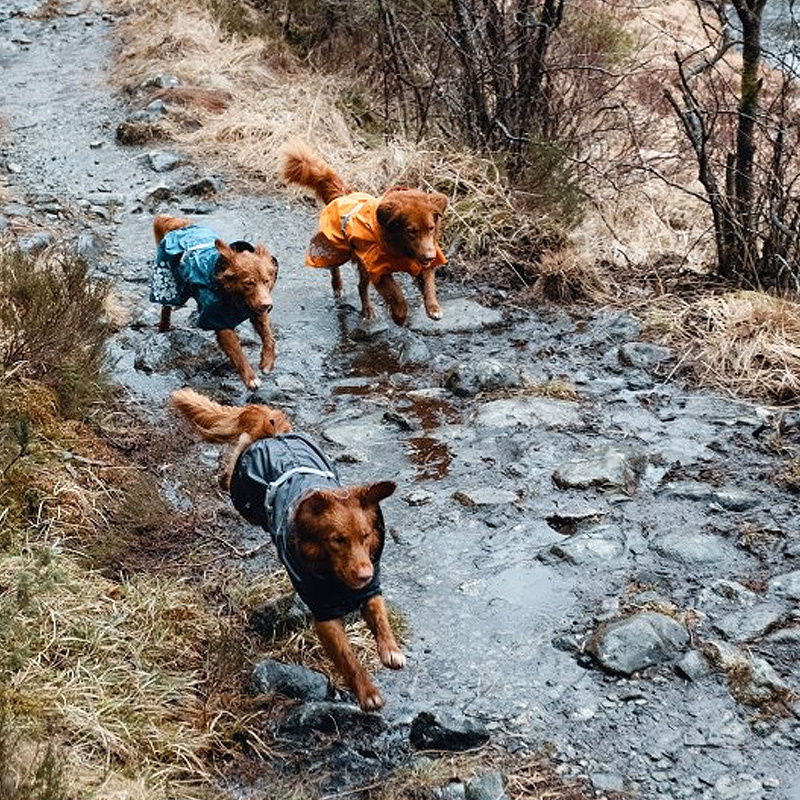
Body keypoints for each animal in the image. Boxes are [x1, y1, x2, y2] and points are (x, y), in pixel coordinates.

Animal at [152, 216, 280, 390]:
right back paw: (164, 327)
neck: (236, 298)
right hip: (170, 284)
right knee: (166, 306)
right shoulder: (217, 320)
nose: (268, 305)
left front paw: (267, 362)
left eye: (266, 281)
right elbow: (237, 351)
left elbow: (268, 337)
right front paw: (251, 378)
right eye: (248, 283)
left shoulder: (257, 309)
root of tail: (181, 226)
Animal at [171, 388, 404, 712]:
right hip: (242, 495)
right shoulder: (324, 614)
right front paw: (366, 692)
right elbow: (347, 657)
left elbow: (380, 617)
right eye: (337, 540)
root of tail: (274, 432)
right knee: (236, 455)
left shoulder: (371, 590)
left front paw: (391, 650)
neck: (333, 574)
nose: (364, 575)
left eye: (366, 536)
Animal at [280, 138, 450, 324]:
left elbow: (429, 284)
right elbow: (396, 294)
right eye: (411, 231)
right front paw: (399, 315)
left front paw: (433, 308)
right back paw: (339, 288)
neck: (400, 249)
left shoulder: (423, 259)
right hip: (337, 248)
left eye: (431, 228)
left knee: (361, 287)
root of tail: (344, 195)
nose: (430, 256)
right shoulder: (378, 270)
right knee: (335, 269)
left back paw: (367, 309)